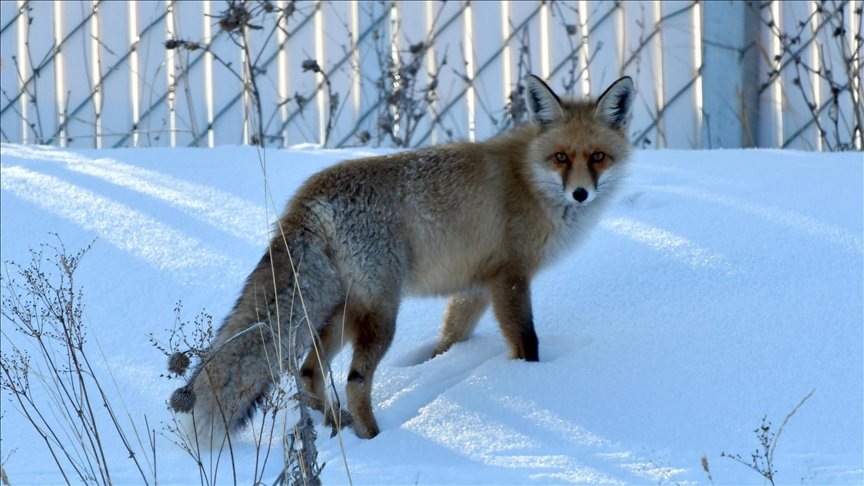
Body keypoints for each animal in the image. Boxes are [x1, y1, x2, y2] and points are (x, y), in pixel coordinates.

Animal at [172, 73, 636, 440]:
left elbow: (450, 338)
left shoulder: (477, 286)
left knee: (307, 371)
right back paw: (377, 438)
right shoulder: (511, 277)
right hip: (380, 311)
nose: (581, 193)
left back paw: (335, 424)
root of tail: (307, 197)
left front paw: (436, 364)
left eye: (598, 157)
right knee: (355, 381)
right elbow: (527, 341)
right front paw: (531, 379)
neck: (529, 179)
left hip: (341, 310)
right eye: (561, 157)